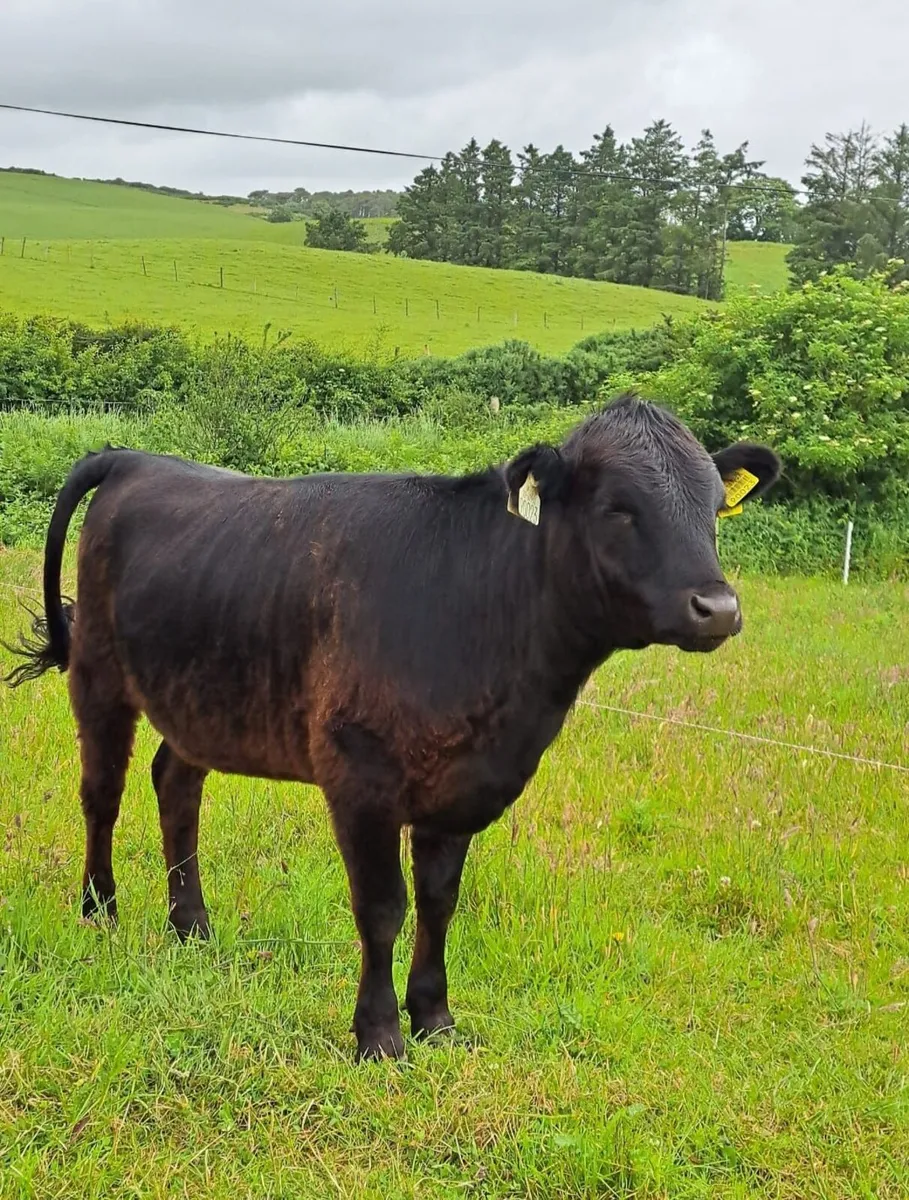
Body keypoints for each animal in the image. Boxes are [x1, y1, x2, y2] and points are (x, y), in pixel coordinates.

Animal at [4, 393, 780, 1060]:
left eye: (712, 507)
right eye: (618, 508)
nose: (717, 607)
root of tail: (135, 457)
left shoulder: (462, 788)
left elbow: (438, 903)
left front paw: (435, 1018)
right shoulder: (361, 776)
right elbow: (382, 907)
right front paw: (378, 1035)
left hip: (199, 692)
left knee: (176, 785)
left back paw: (190, 923)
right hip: (99, 675)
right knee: (102, 794)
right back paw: (100, 908)